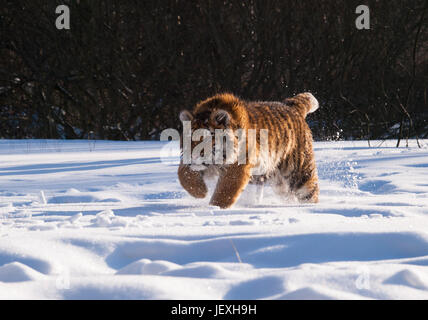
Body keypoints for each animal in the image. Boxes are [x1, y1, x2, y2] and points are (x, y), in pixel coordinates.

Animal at [176, 91, 320, 209]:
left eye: (205, 139)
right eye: (189, 139)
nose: (193, 156)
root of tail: (293, 107)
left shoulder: (237, 167)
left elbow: (225, 191)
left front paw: (214, 208)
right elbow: (183, 174)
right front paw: (200, 192)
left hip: (300, 173)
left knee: (310, 193)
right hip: (278, 181)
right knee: (288, 195)